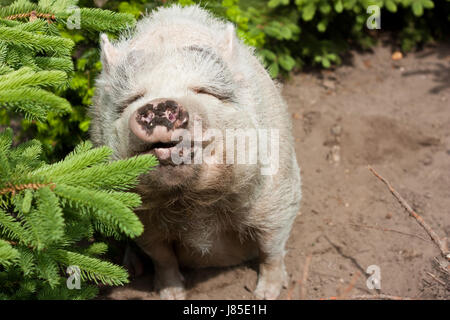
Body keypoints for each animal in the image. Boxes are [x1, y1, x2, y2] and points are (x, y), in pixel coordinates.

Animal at [89, 5, 300, 300]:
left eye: (203, 91)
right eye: (132, 99)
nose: (158, 104)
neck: (191, 205)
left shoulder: (278, 193)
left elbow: (272, 247)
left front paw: (265, 294)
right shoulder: (142, 220)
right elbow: (162, 256)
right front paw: (171, 294)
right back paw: (132, 270)